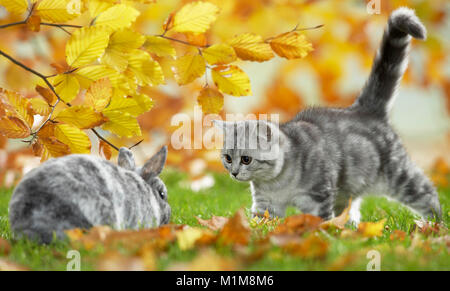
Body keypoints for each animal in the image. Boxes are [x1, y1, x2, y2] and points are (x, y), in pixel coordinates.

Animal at [214, 8, 440, 224]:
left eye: (246, 159)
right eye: (227, 158)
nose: (233, 172)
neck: (277, 182)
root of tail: (365, 109)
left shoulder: (318, 197)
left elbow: (319, 222)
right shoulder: (266, 205)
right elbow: (259, 224)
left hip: (398, 175)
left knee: (427, 192)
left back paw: (434, 225)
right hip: (350, 185)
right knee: (350, 209)